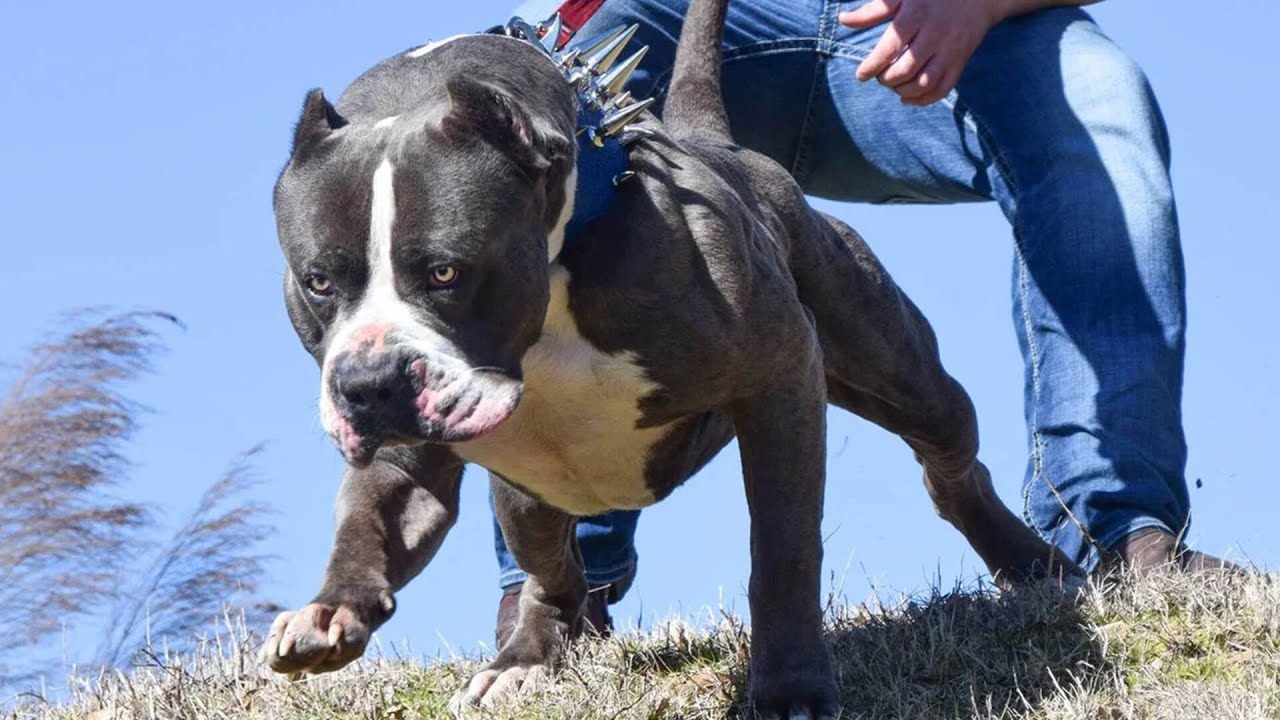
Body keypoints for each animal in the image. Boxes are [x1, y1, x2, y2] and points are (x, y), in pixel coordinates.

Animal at [264, 0, 1075, 712]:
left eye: (444, 271)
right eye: (318, 281)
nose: (369, 384)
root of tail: (715, 140)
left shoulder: (781, 376)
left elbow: (783, 551)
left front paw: (792, 688)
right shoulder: (408, 457)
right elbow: (369, 522)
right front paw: (331, 612)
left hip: (899, 368)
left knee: (950, 462)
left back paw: (1032, 562)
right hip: (523, 494)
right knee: (552, 575)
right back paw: (524, 660)